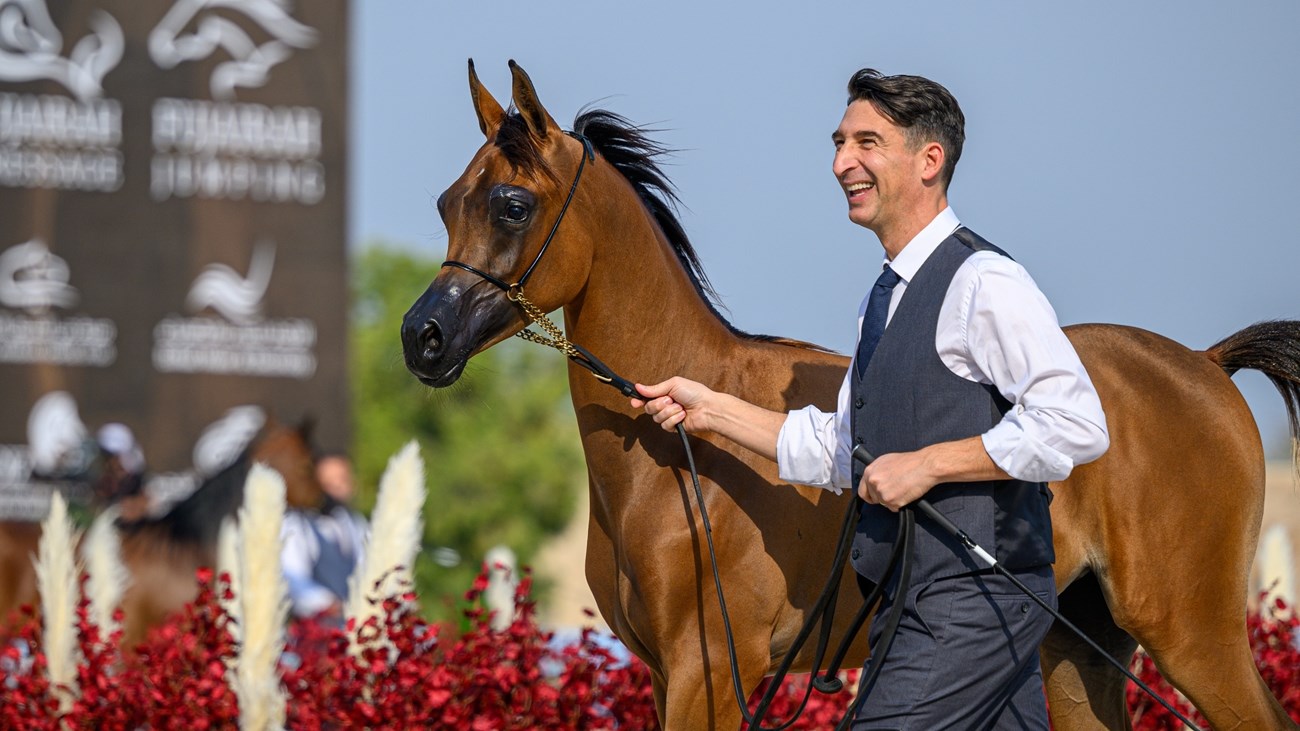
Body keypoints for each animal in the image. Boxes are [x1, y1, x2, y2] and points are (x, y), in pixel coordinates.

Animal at [397, 59, 1300, 723]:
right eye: (446, 201)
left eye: (513, 204)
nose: (421, 337)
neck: (680, 470)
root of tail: (1204, 363)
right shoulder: (663, 672)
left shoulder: (710, 670)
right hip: (1077, 651)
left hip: (1193, 634)